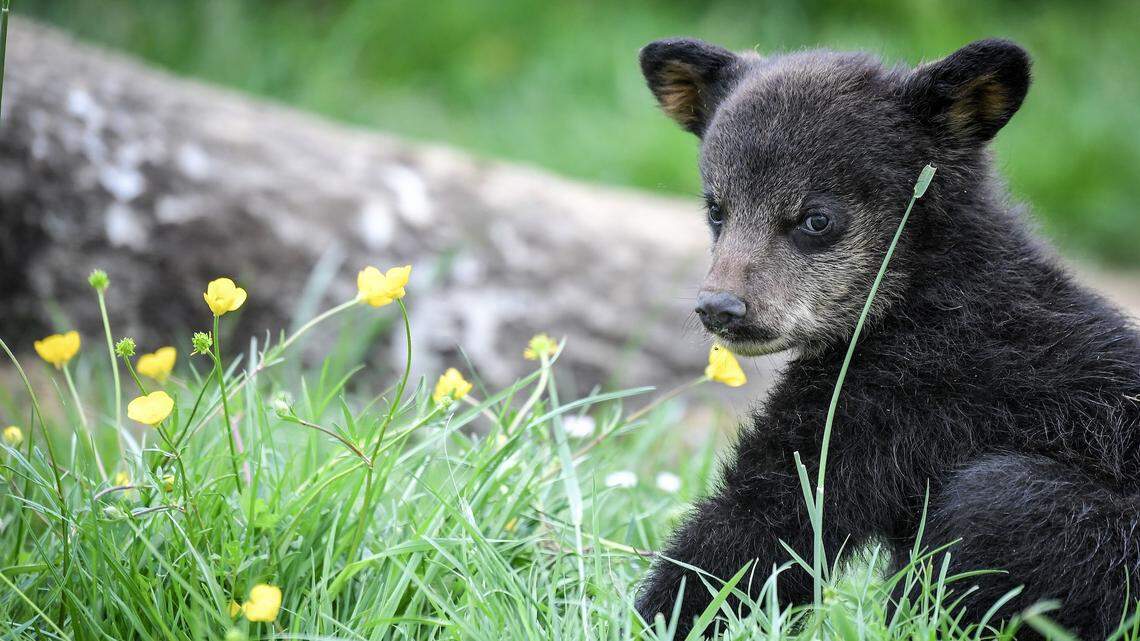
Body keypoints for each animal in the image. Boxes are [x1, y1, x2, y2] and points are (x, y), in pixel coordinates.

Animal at [634, 37, 1140, 639]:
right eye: (716, 209)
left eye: (816, 218)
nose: (720, 307)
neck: (919, 289)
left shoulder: (906, 388)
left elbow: (783, 506)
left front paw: (657, 612)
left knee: (995, 506)